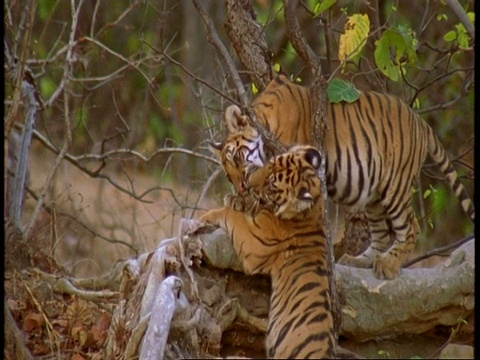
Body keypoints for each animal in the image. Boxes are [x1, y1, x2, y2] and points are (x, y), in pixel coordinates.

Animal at [199, 145, 334, 358]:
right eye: (270, 164)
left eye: (272, 185)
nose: (248, 176)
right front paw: (234, 200)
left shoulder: (254, 242)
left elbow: (233, 216)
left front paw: (207, 215)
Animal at [212, 74, 474, 280]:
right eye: (228, 174)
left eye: (237, 159)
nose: (241, 188)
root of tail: (421, 122)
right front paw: (237, 200)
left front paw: (246, 200)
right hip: (374, 195)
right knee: (381, 233)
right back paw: (360, 260)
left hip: (395, 187)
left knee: (411, 226)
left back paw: (389, 266)